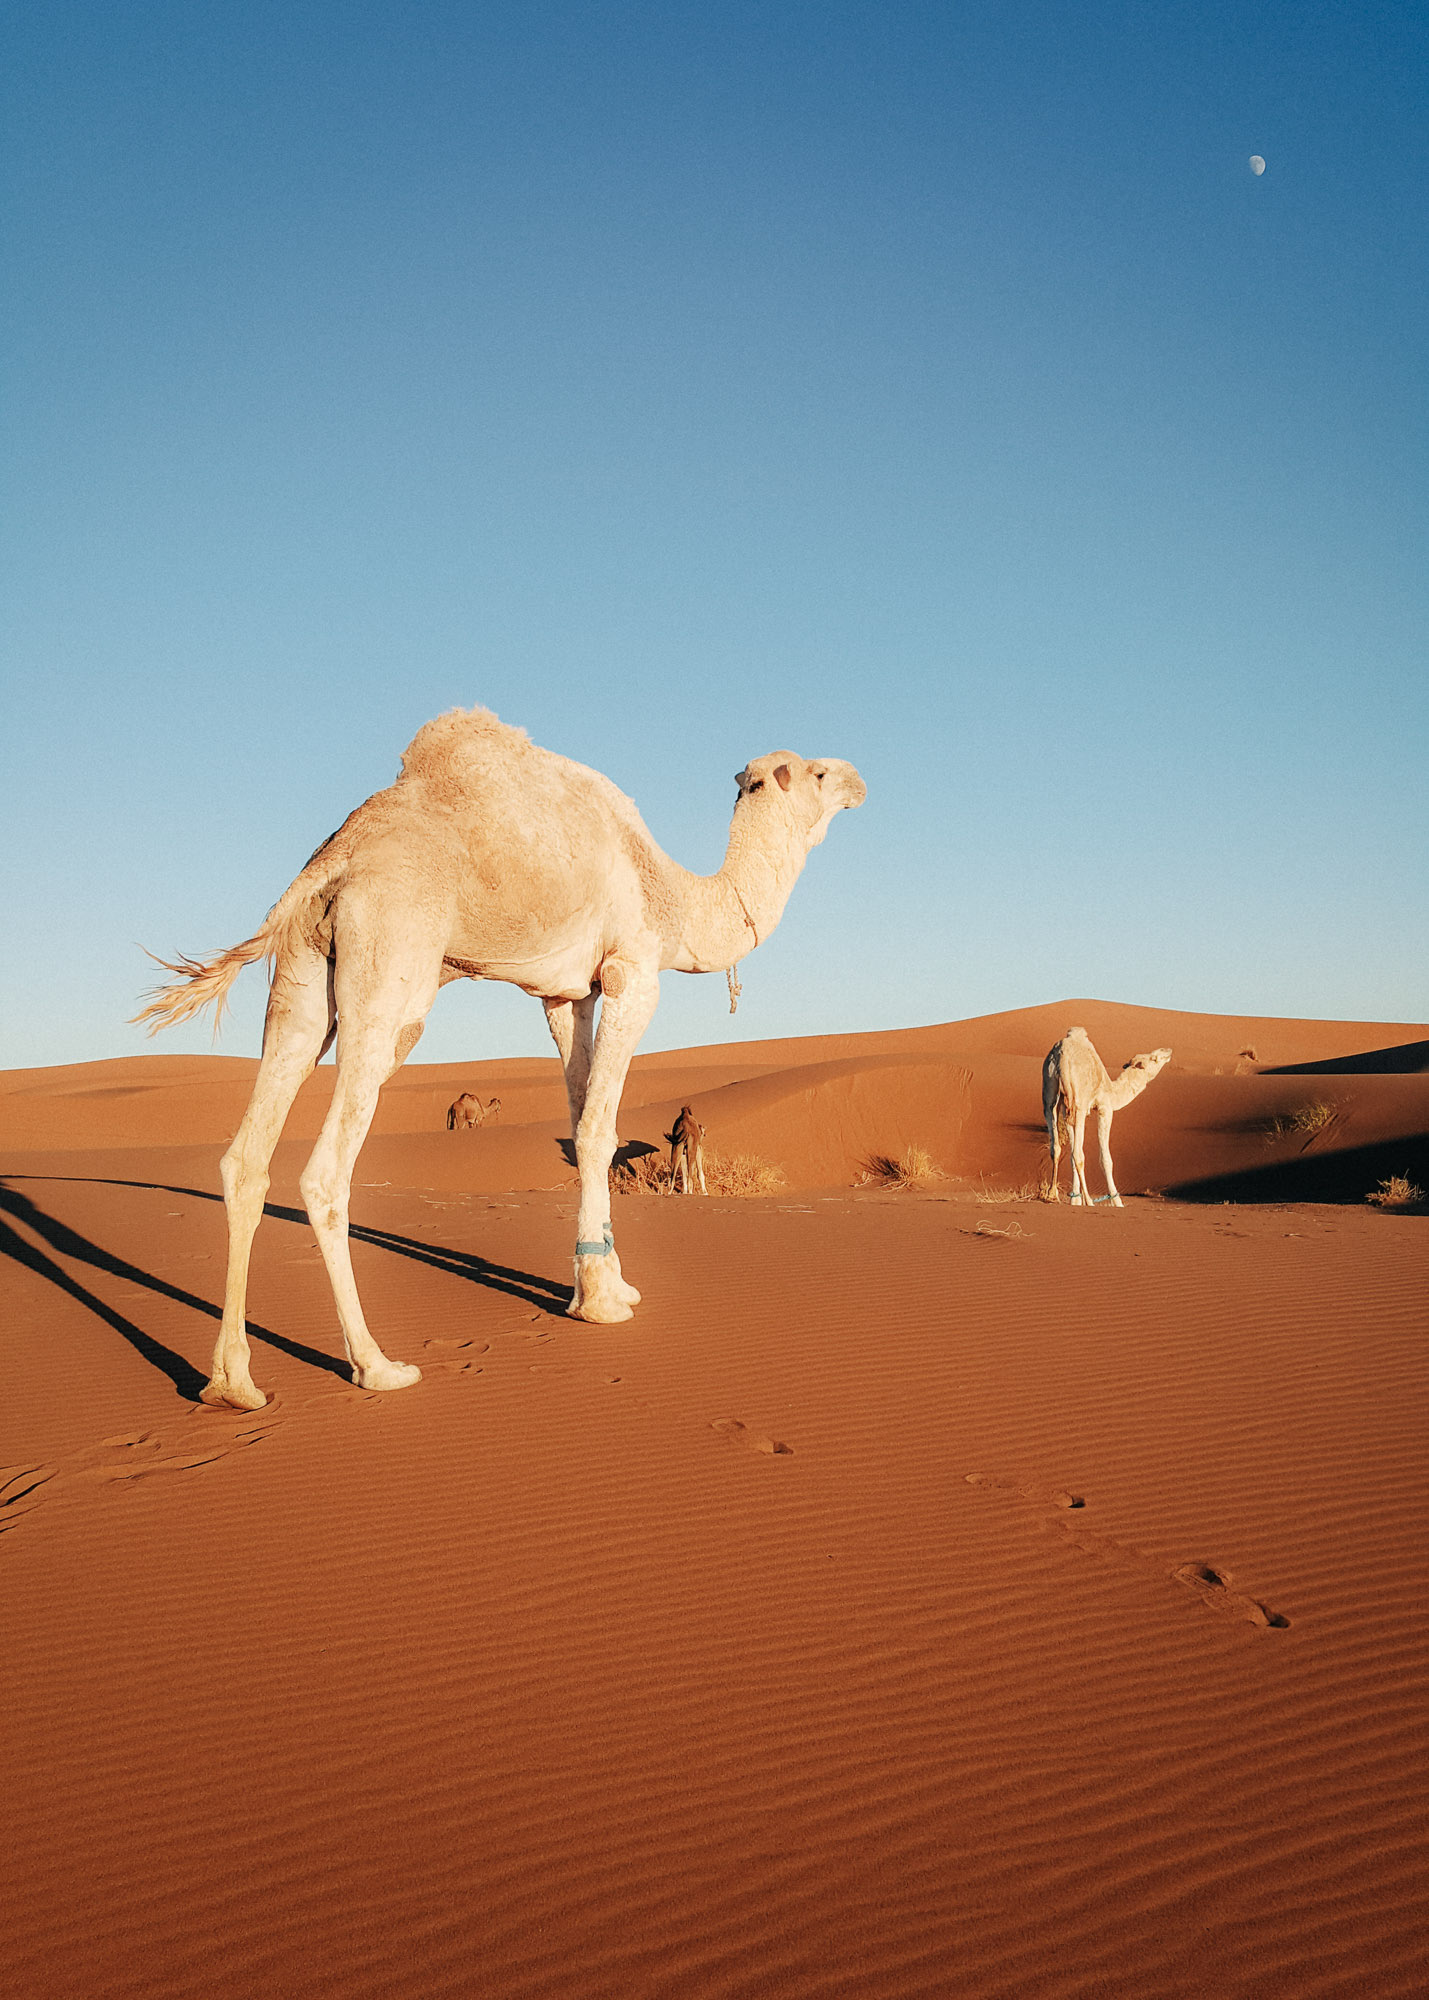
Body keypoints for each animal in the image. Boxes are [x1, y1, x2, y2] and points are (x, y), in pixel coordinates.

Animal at [135, 706, 865, 1409]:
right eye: (815, 772)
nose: (859, 778)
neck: (671, 895)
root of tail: (331, 862)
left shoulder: (567, 993)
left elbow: (581, 1119)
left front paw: (605, 1282)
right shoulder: (631, 972)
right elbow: (598, 1131)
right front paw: (602, 1302)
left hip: (301, 979)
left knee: (246, 1157)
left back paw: (232, 1382)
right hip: (391, 969)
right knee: (324, 1171)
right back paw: (375, 1364)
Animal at [1042, 1027, 1172, 1208]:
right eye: (1154, 1058)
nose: (1168, 1050)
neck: (1112, 1090)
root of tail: (1062, 1058)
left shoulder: (1065, 1108)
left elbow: (1069, 1153)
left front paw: (1074, 1199)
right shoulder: (1105, 1108)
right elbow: (1106, 1160)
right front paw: (1116, 1201)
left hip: (1050, 1091)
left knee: (1056, 1146)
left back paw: (1051, 1195)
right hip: (1079, 1100)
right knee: (1078, 1154)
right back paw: (1089, 1200)